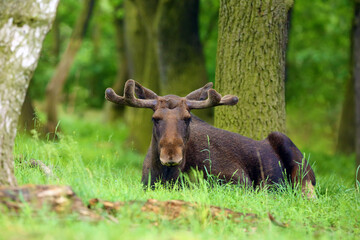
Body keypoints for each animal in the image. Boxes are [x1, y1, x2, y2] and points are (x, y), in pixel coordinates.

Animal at [105, 79, 316, 198]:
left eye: (187, 118)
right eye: (155, 118)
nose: (171, 155)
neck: (167, 175)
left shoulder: (240, 179)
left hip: (292, 154)